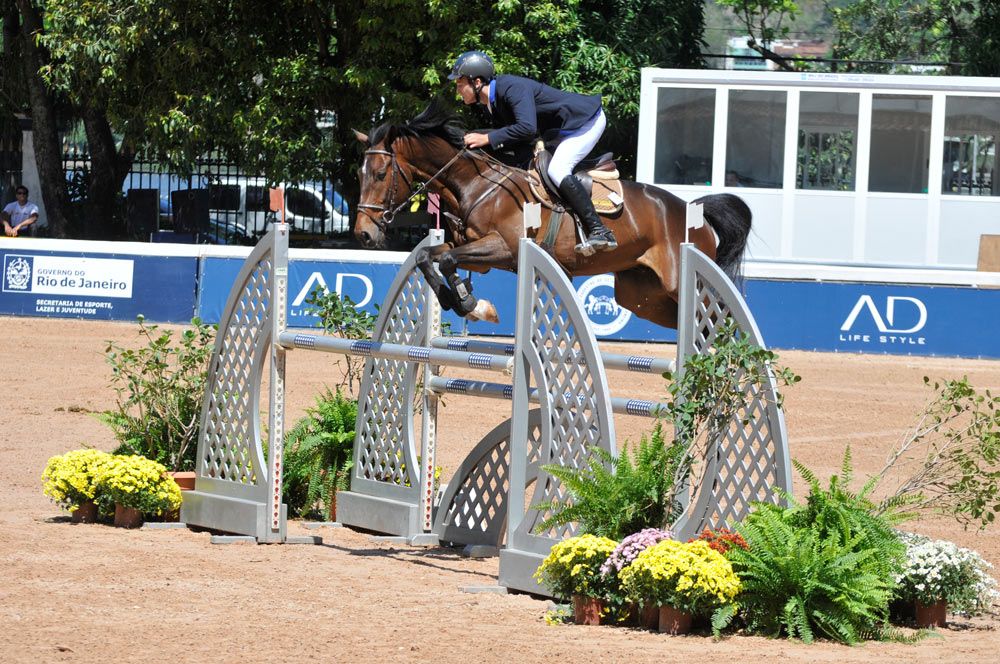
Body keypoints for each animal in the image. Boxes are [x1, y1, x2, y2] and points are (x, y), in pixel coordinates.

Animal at [352, 104, 752, 332]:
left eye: (381, 174)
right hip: (642, 296)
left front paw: (470, 304)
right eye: (359, 174)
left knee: (717, 320)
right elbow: (428, 256)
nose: (364, 235)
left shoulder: (504, 248)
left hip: (681, 284)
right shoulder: (477, 254)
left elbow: (446, 258)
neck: (475, 184)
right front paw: (464, 302)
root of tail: (693, 211)